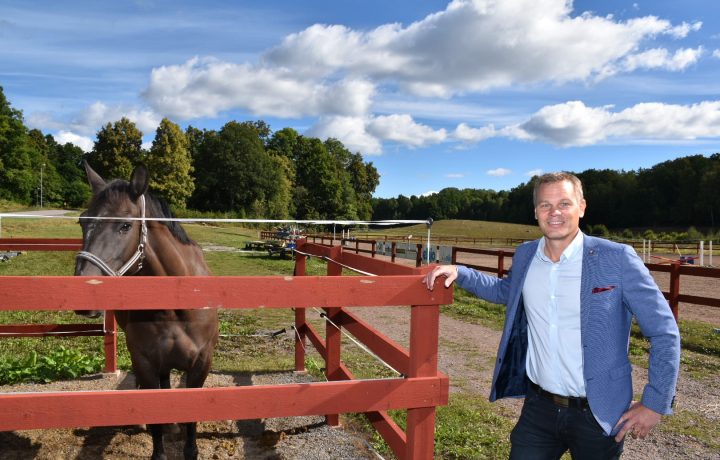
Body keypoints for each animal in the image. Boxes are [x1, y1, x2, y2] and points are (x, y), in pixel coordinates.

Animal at [75, 162, 219, 460]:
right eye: (82, 221)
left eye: (125, 225)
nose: (83, 292)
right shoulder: (146, 361)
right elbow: (155, 418)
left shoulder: (201, 363)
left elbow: (192, 417)